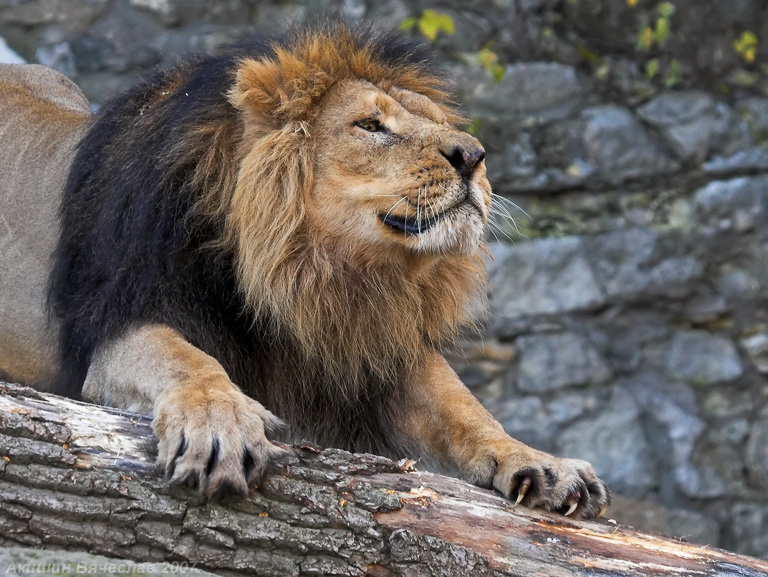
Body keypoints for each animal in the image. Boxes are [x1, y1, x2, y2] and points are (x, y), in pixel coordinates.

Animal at [0, 23, 609, 518]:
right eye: (371, 125)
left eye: (439, 123)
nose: (474, 155)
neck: (314, 272)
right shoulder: (118, 320)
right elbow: (187, 360)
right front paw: (221, 425)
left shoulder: (367, 346)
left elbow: (461, 405)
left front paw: (541, 463)